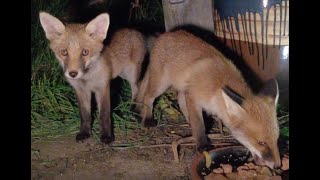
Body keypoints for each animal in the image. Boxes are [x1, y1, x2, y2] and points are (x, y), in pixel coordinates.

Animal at [38, 11, 146, 143]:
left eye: (85, 52)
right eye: (64, 52)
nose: (73, 74)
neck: (87, 79)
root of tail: (134, 30)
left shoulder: (102, 88)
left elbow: (104, 114)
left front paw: (107, 136)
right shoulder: (81, 90)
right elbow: (85, 115)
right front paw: (85, 133)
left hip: (132, 75)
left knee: (137, 89)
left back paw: (135, 110)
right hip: (122, 75)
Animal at [136, 29, 282, 169]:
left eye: (276, 139)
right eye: (261, 142)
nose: (277, 165)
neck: (217, 88)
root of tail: (165, 34)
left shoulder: (192, 96)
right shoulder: (194, 98)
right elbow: (199, 125)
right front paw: (202, 145)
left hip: (182, 89)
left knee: (180, 101)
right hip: (161, 85)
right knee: (148, 97)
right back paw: (147, 119)